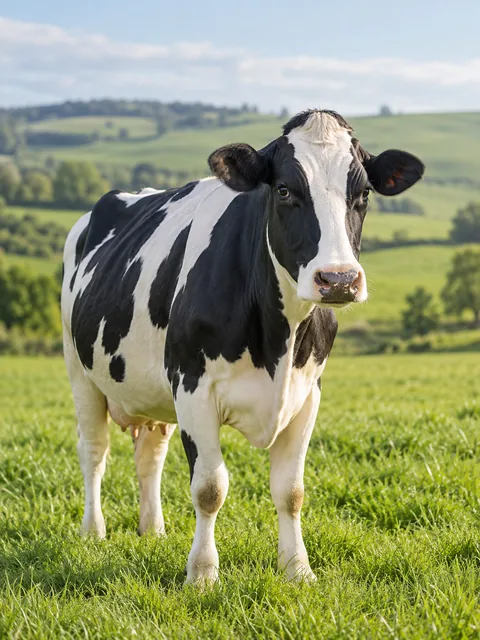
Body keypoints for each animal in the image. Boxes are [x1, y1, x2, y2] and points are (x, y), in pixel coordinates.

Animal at [61, 109, 424, 585]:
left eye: (363, 192)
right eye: (284, 189)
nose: (339, 280)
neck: (279, 338)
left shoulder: (308, 393)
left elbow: (291, 491)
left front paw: (298, 570)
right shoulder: (193, 386)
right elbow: (209, 487)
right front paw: (202, 575)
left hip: (152, 389)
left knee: (150, 456)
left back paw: (153, 529)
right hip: (80, 372)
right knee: (94, 452)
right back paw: (93, 531)